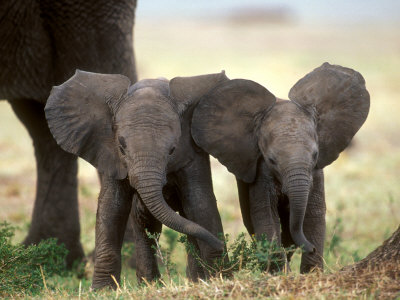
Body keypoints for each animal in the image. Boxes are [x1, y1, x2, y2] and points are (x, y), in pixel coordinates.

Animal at [43, 69, 228, 288]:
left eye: (172, 150)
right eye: (122, 147)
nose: (222, 244)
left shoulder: (193, 152)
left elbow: (199, 203)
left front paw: (222, 277)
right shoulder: (110, 154)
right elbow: (112, 207)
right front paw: (103, 290)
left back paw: (193, 281)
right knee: (145, 218)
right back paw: (151, 284)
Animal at [192, 62, 370, 272]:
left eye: (315, 155)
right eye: (271, 160)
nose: (310, 248)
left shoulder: (316, 171)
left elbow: (314, 214)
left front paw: (310, 274)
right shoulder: (260, 171)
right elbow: (266, 216)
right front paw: (280, 273)